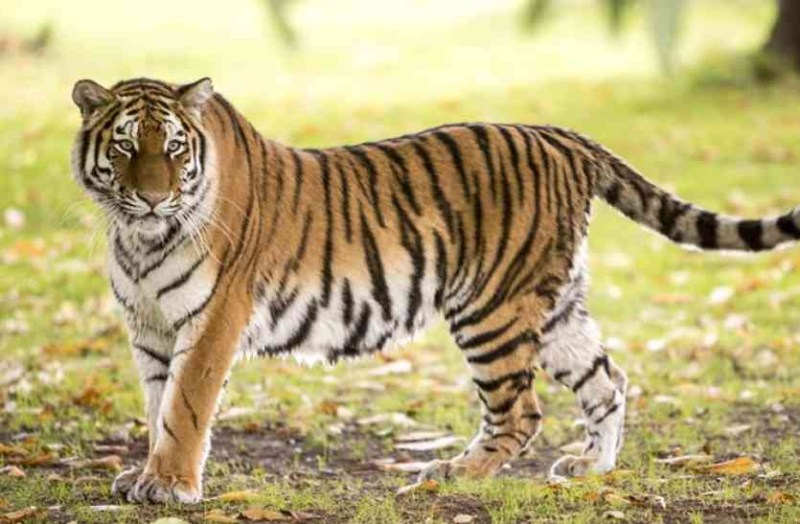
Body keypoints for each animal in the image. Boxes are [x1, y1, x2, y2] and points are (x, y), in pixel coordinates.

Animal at [70, 76, 800, 504]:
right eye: (127, 147)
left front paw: (169, 485)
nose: (153, 196)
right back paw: (592, 469)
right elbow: (159, 405)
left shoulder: (212, 319)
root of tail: (559, 135)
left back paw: (450, 476)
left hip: (492, 308)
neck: (139, 237)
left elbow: (186, 408)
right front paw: (145, 474)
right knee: (607, 378)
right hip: (554, 307)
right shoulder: (151, 329)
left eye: (173, 148)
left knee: (520, 412)